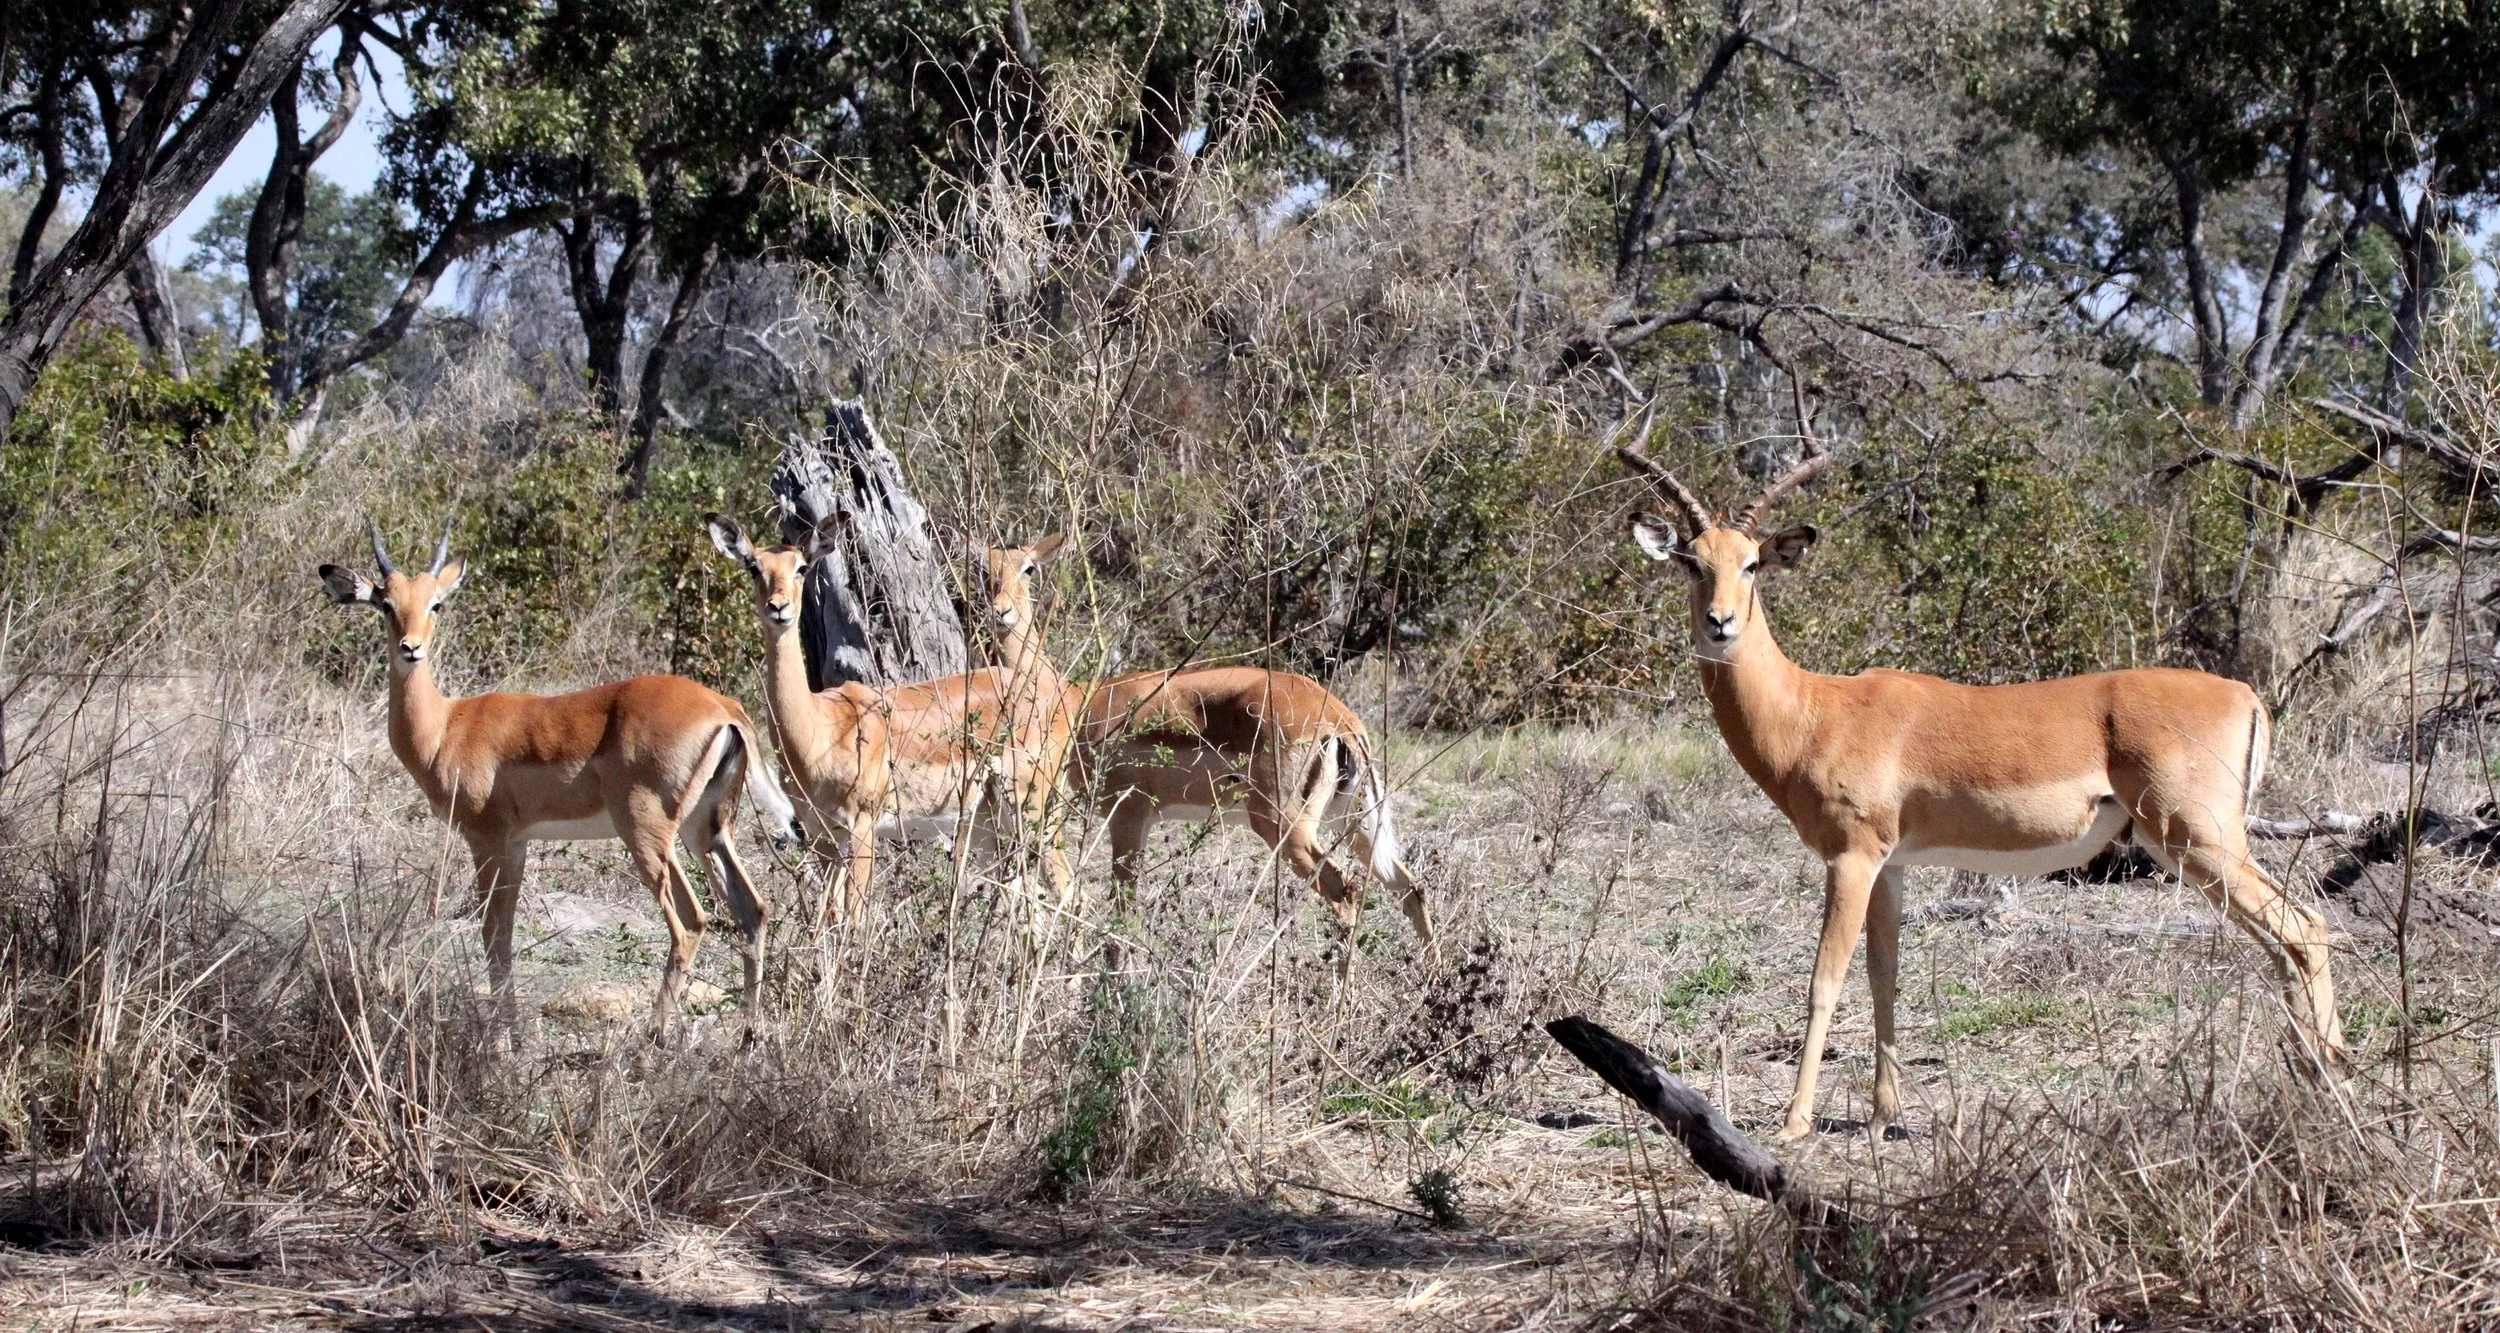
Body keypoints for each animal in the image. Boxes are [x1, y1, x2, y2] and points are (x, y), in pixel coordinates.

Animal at [318, 519, 800, 1039]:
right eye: (386, 603)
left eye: (436, 604)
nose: (411, 648)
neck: (447, 727)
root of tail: (724, 708)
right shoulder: (516, 843)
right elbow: (504, 934)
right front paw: (509, 1030)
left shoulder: (485, 838)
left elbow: (491, 932)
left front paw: (498, 1041)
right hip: (706, 830)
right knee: (752, 909)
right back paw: (748, 1035)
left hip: (648, 833)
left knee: (691, 921)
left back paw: (653, 1038)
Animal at [704, 515, 1077, 934]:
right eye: (754, 567)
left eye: (801, 567)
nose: (779, 607)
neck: (818, 730)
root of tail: (1052, 690)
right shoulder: (823, 838)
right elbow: (829, 920)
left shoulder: (862, 829)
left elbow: (855, 919)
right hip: (987, 822)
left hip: (1033, 805)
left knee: (1066, 886)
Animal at [1613, 408, 2344, 1142]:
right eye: (1692, 561)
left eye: (1752, 562)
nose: (1720, 623)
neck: (1816, 711)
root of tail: (2244, 695)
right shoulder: (1892, 866)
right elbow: (1884, 975)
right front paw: (1884, 1115)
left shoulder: (1851, 857)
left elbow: (1825, 979)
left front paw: (1794, 1123)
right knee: (2286, 943)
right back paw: (2312, 1078)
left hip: (2198, 839)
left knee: (2304, 926)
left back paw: (2329, 1080)